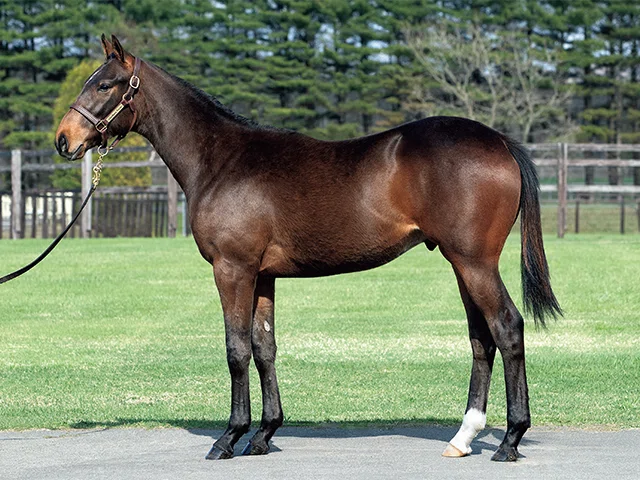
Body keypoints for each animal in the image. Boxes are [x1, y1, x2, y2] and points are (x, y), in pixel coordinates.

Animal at [55, 35, 561, 462]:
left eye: (104, 84)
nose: (64, 139)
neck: (221, 161)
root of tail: (501, 142)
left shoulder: (232, 269)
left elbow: (236, 349)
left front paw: (228, 438)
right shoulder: (262, 276)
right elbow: (264, 348)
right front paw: (263, 434)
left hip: (475, 263)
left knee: (507, 328)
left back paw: (510, 440)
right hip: (462, 265)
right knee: (482, 338)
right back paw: (464, 438)